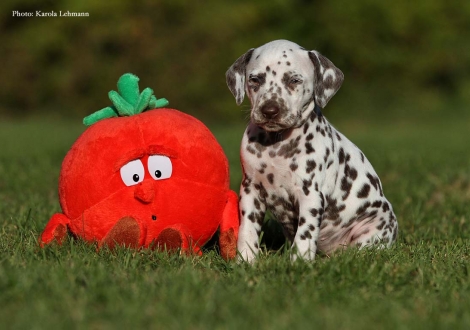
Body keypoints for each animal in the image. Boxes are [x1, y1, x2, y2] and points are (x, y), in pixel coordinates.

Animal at [226, 40, 398, 262]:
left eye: (294, 80)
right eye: (255, 79)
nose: (270, 110)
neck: (276, 144)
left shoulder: (310, 195)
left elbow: (305, 234)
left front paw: (299, 262)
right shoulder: (250, 190)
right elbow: (247, 229)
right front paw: (245, 260)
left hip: (375, 225)